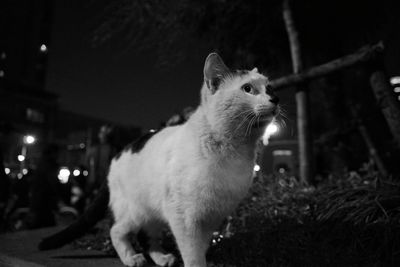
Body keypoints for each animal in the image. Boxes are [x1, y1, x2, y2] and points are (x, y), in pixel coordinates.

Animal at [108, 53, 280, 266]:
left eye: (270, 88)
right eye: (247, 88)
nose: (276, 98)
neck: (235, 150)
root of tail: (121, 151)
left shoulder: (212, 217)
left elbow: (202, 246)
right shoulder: (184, 216)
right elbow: (192, 251)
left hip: (153, 214)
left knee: (148, 237)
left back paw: (162, 258)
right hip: (137, 211)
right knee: (116, 231)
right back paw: (131, 258)